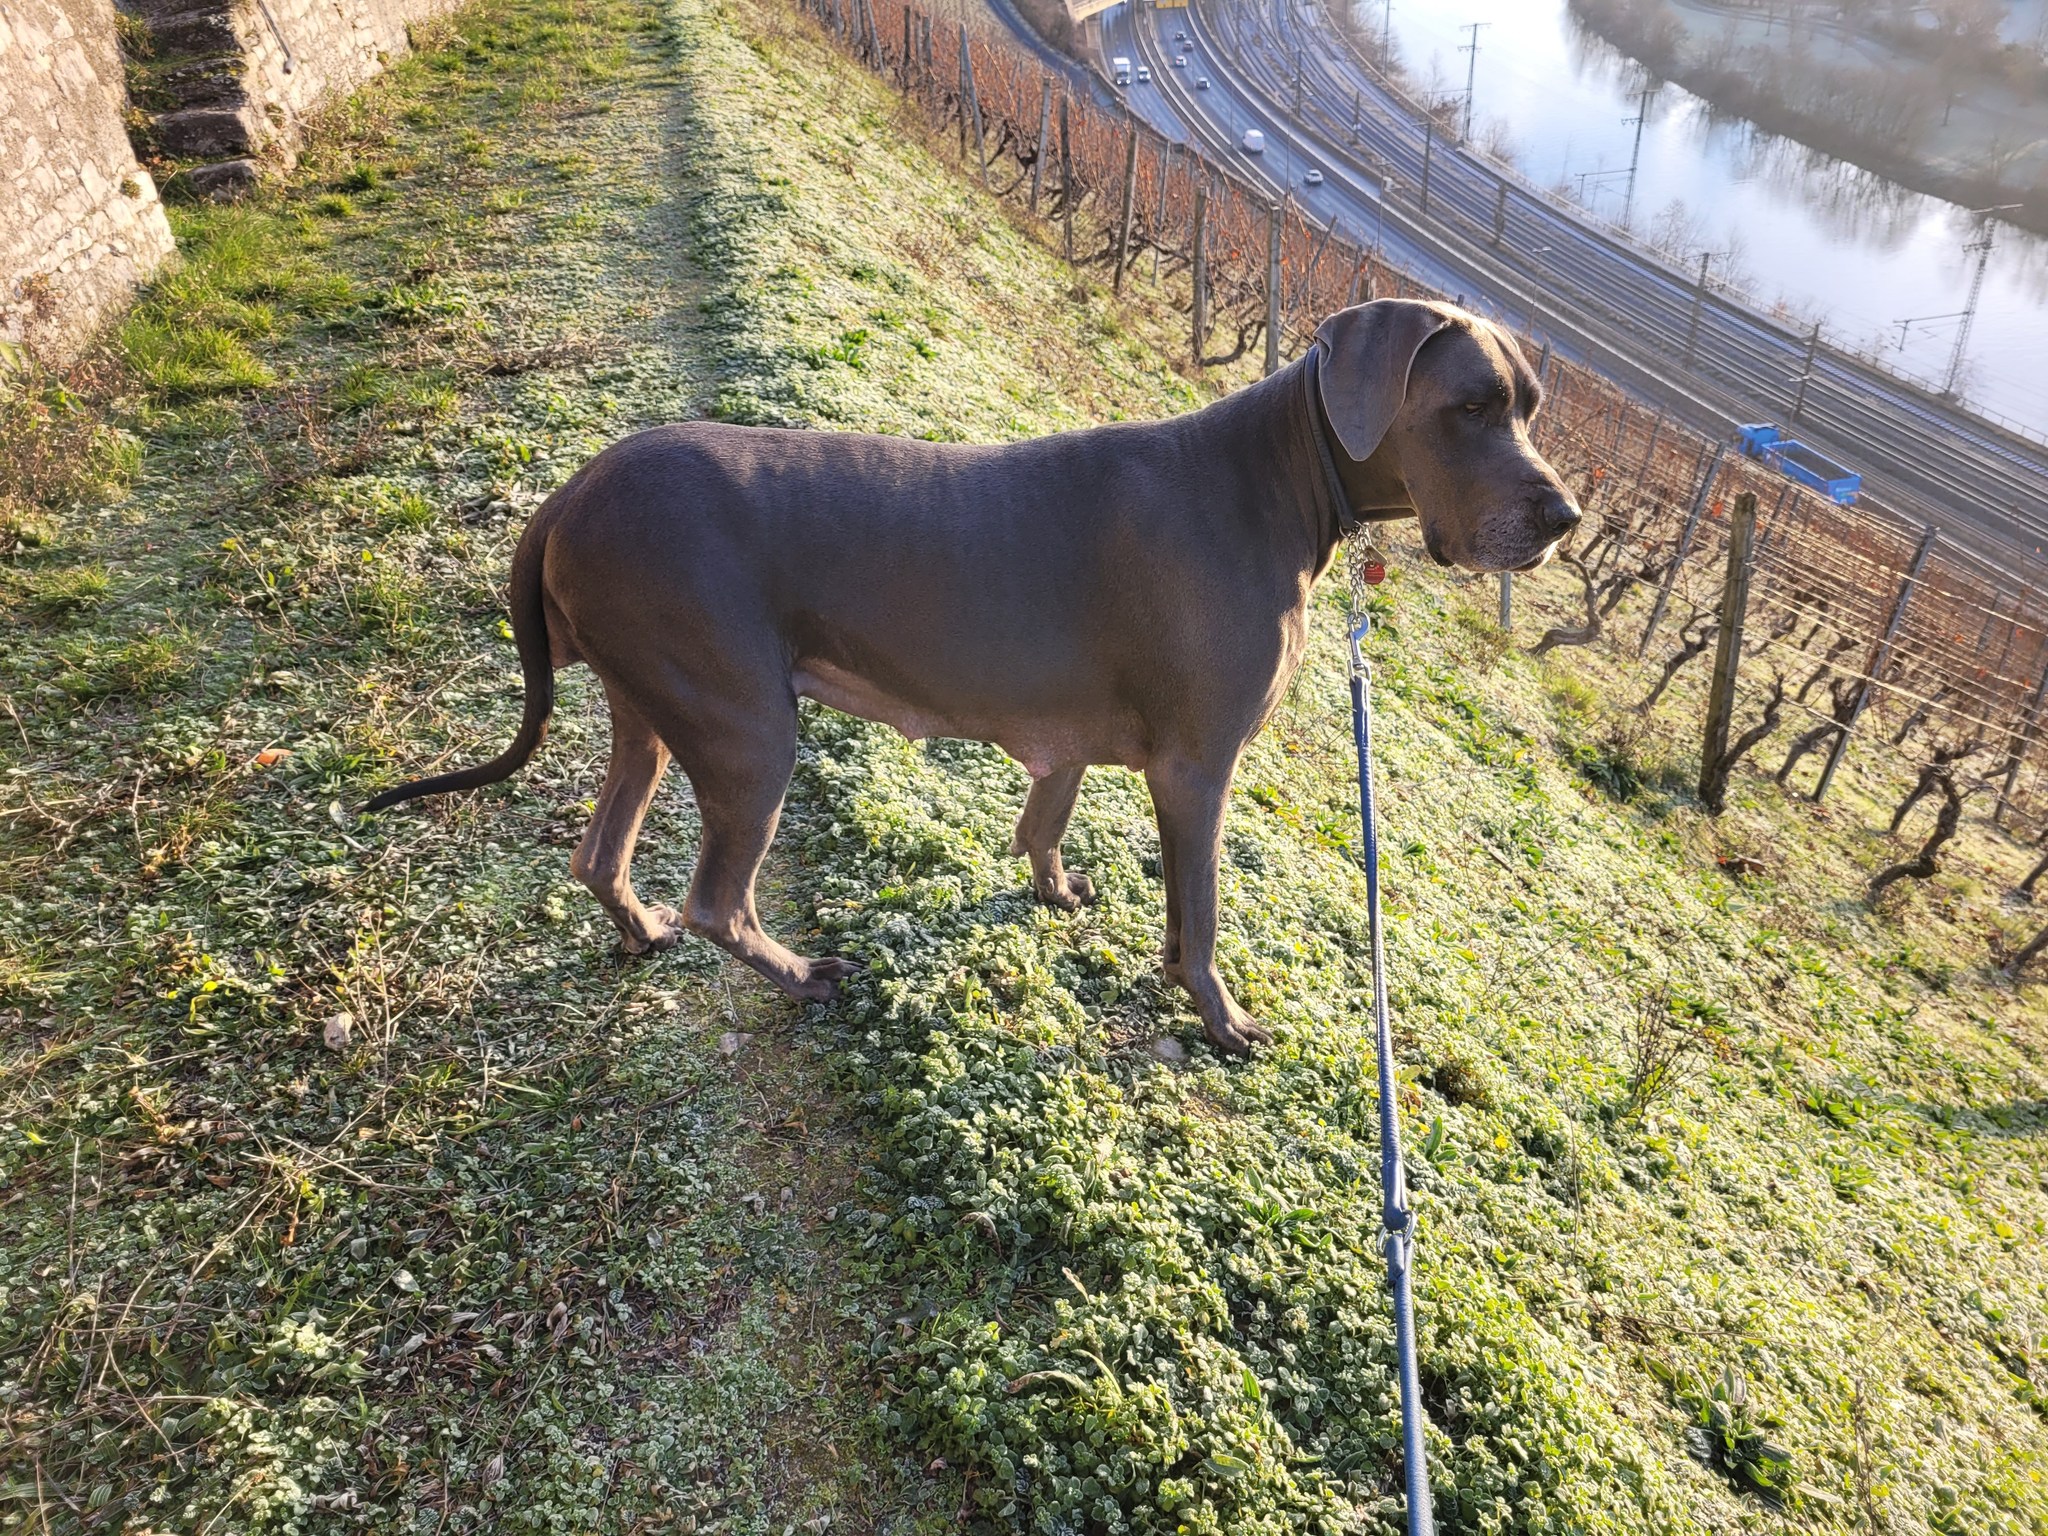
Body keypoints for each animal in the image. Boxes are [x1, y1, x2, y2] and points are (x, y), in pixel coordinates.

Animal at [368, 299, 1578, 1053]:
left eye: (1527, 406)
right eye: (1471, 406)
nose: (1563, 516)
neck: (1278, 475)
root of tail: (567, 497)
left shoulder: (1089, 738)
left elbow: (1050, 820)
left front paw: (1056, 891)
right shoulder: (1198, 770)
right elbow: (1200, 917)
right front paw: (1218, 1018)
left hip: (654, 707)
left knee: (600, 852)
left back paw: (639, 931)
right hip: (747, 726)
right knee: (718, 897)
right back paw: (799, 972)